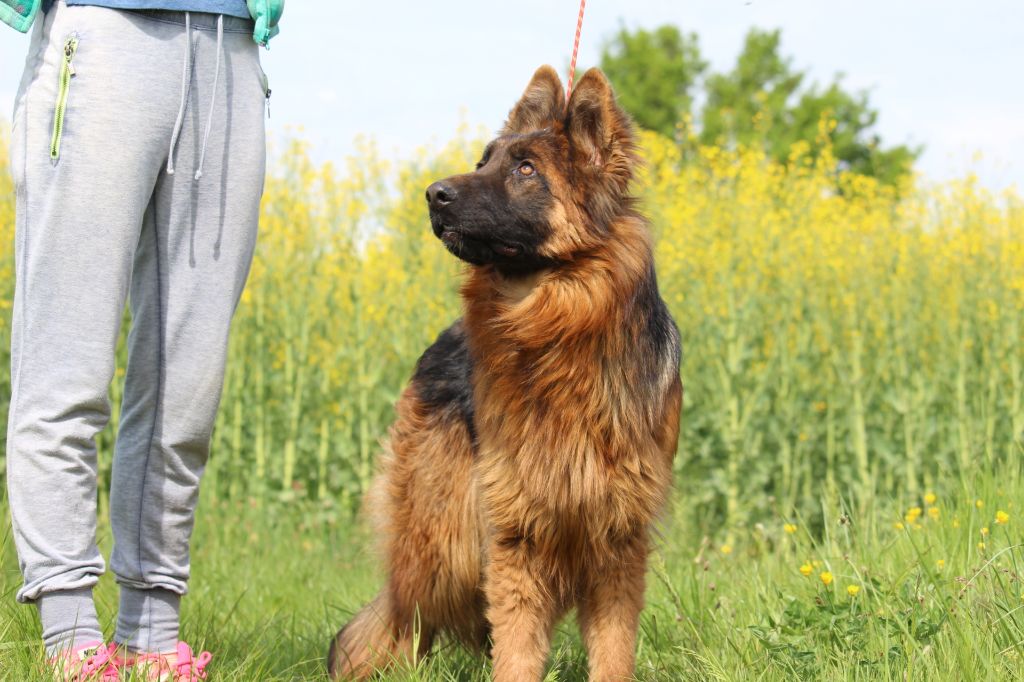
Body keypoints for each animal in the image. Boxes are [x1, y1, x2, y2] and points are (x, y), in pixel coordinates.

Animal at [327, 65, 679, 679]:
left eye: (526, 169)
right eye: (481, 161)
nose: (433, 194)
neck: (551, 335)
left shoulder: (616, 539)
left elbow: (612, 652)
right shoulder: (516, 533)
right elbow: (516, 649)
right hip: (445, 542)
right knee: (404, 613)